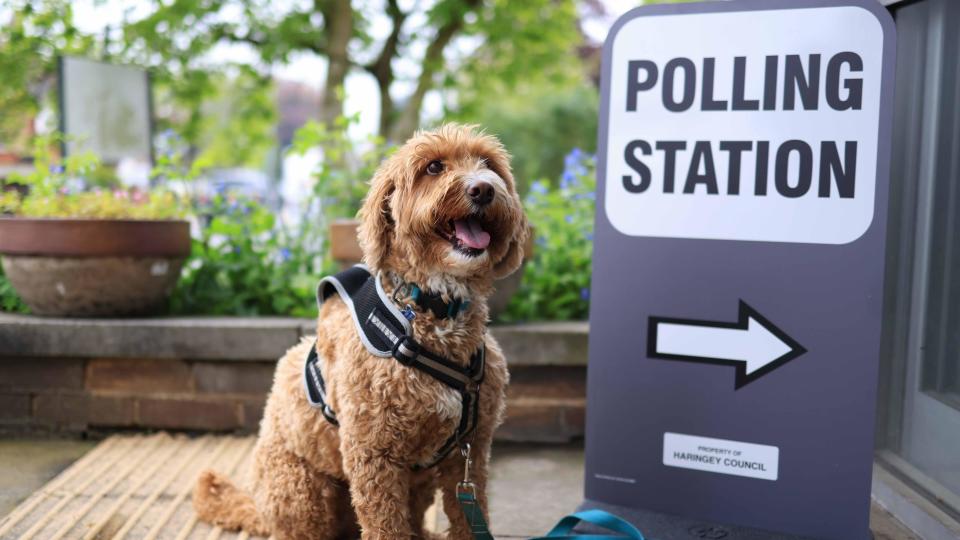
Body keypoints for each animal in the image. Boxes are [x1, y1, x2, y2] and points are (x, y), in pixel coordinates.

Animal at [191, 124, 528, 536]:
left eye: (488, 164)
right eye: (434, 167)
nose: (483, 189)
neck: (431, 310)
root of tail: (259, 506)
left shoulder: (471, 453)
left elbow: (467, 519)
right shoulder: (374, 455)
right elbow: (387, 528)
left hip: (417, 482)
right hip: (300, 490)